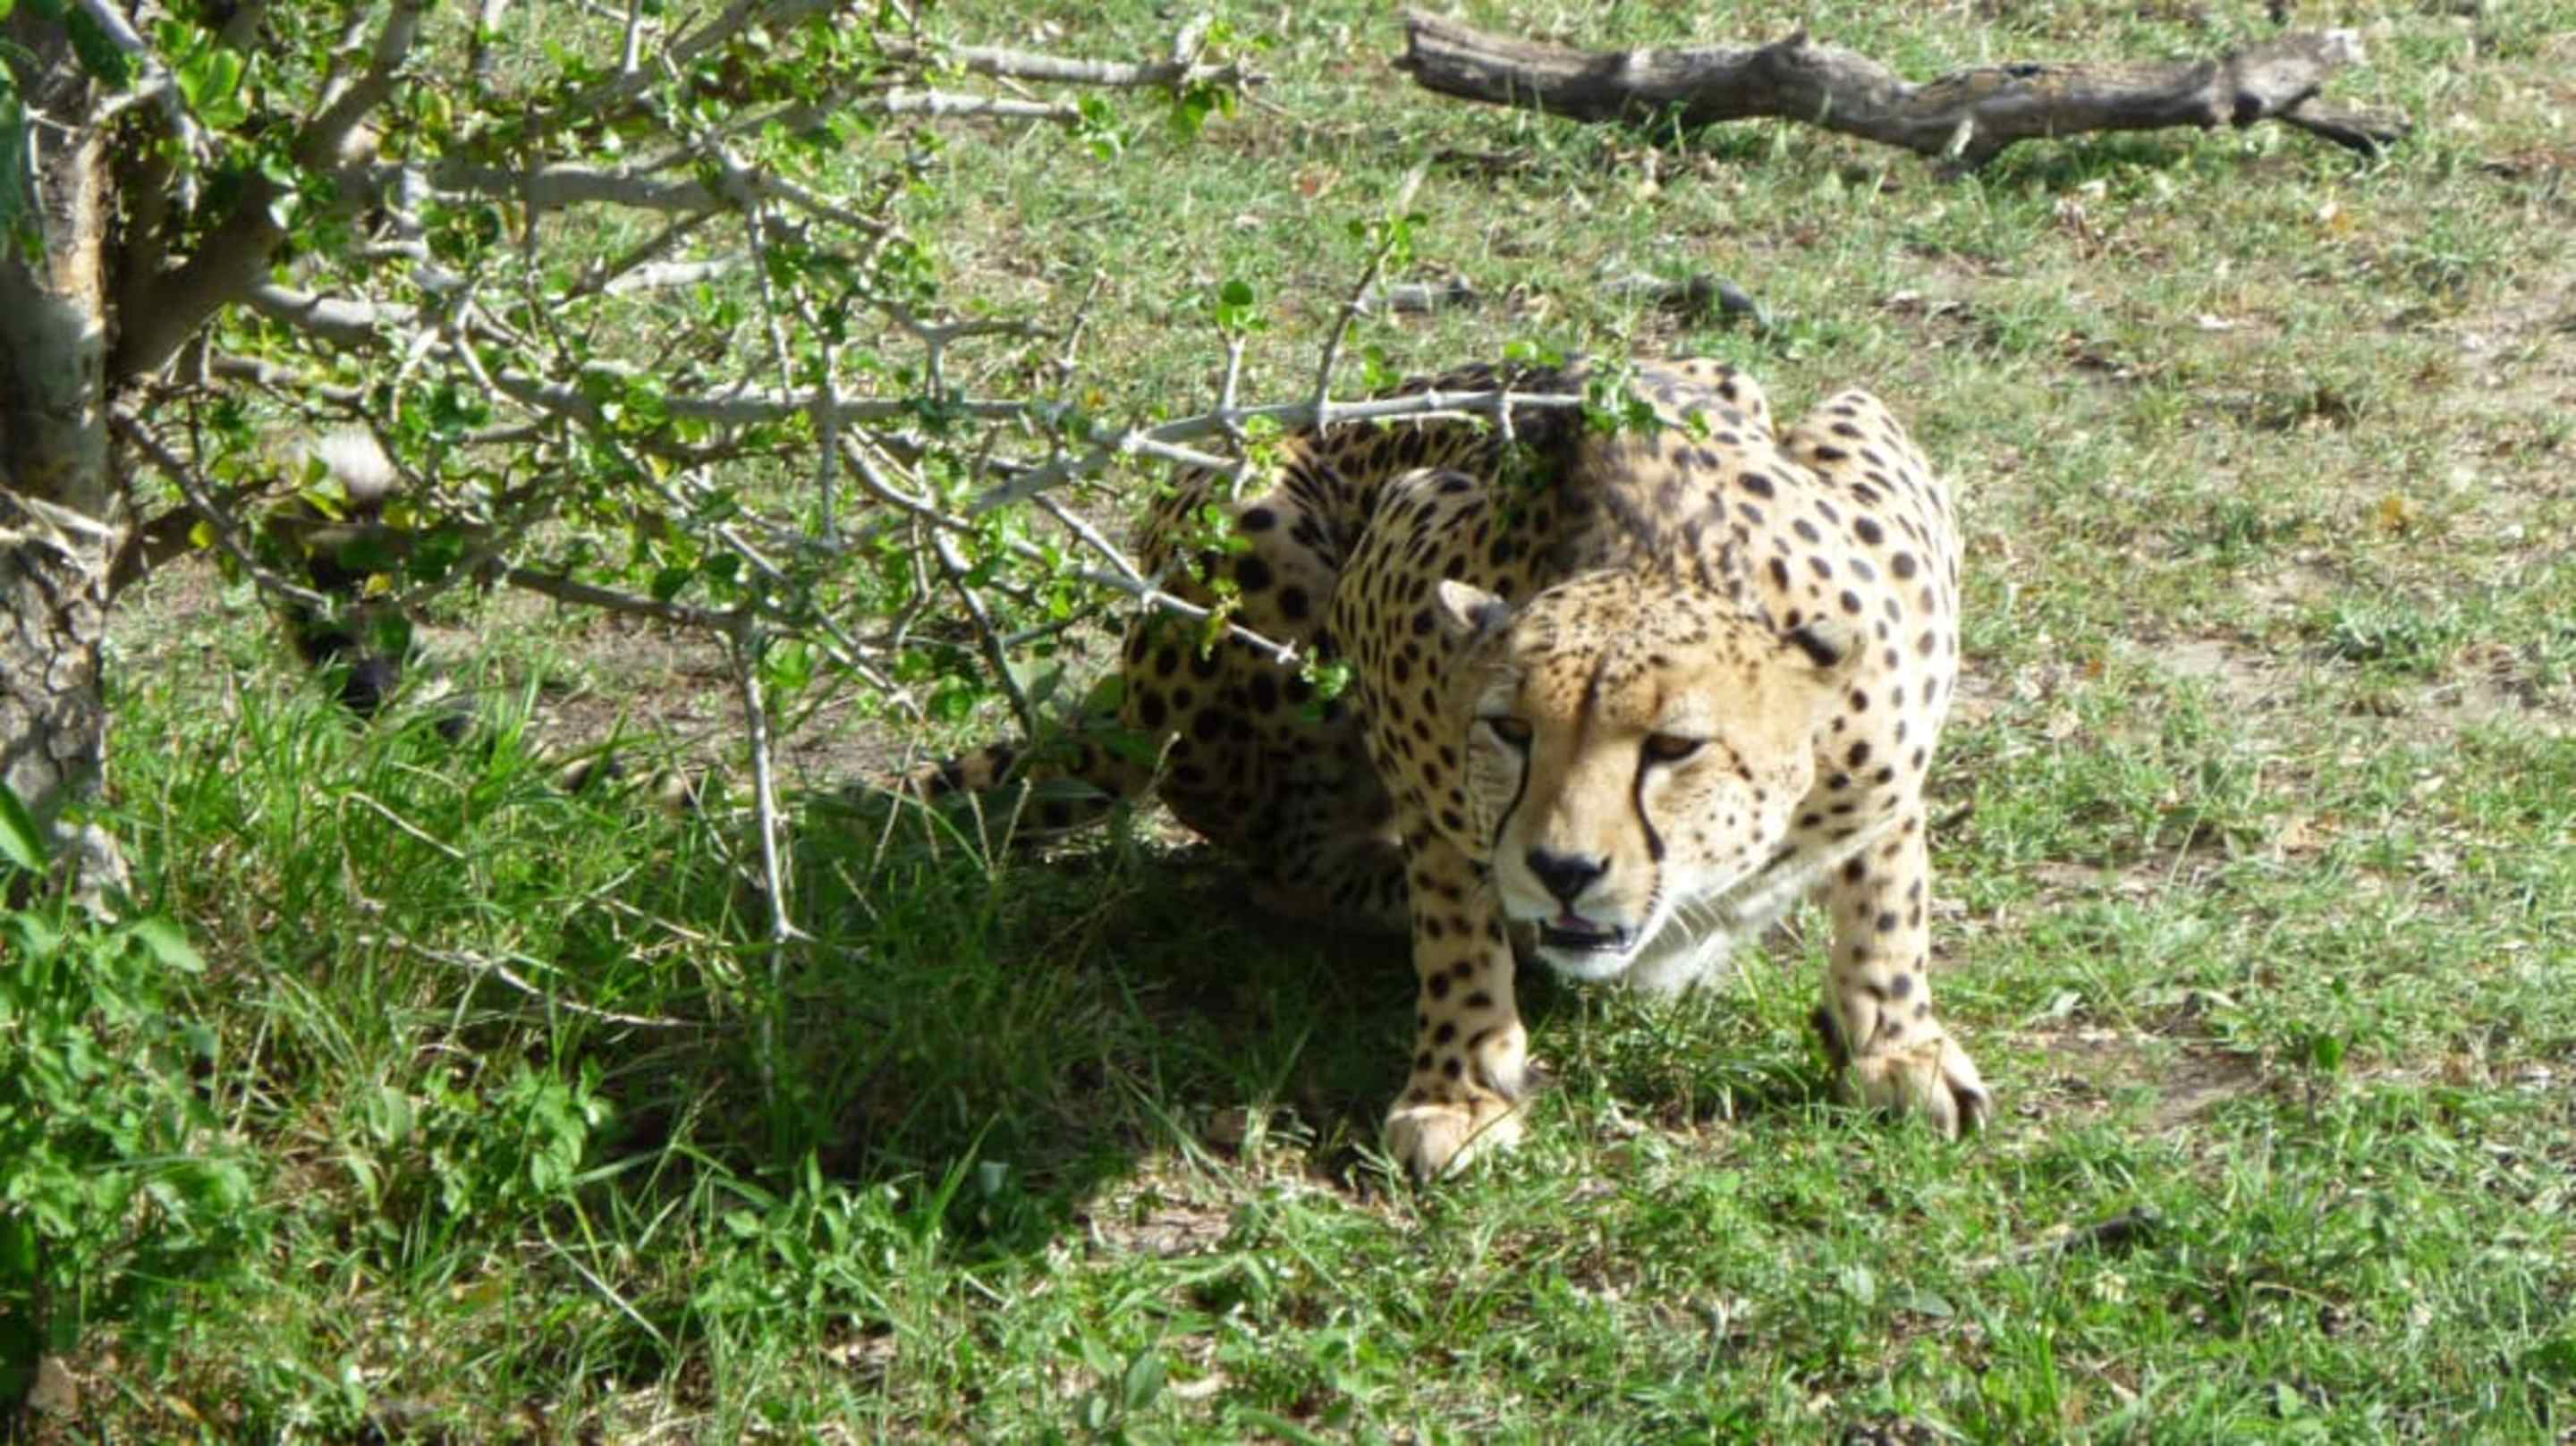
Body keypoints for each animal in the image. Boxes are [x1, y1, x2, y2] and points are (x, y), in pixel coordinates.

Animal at [916, 356, 1990, 1179]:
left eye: (1674, 747)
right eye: (1512, 730)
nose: (1564, 872)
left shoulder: (1885, 507)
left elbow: (1891, 868)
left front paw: (1897, 1035)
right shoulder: (1404, 546)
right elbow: (1452, 885)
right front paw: (1463, 1080)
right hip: (1253, 535)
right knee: (1281, 859)